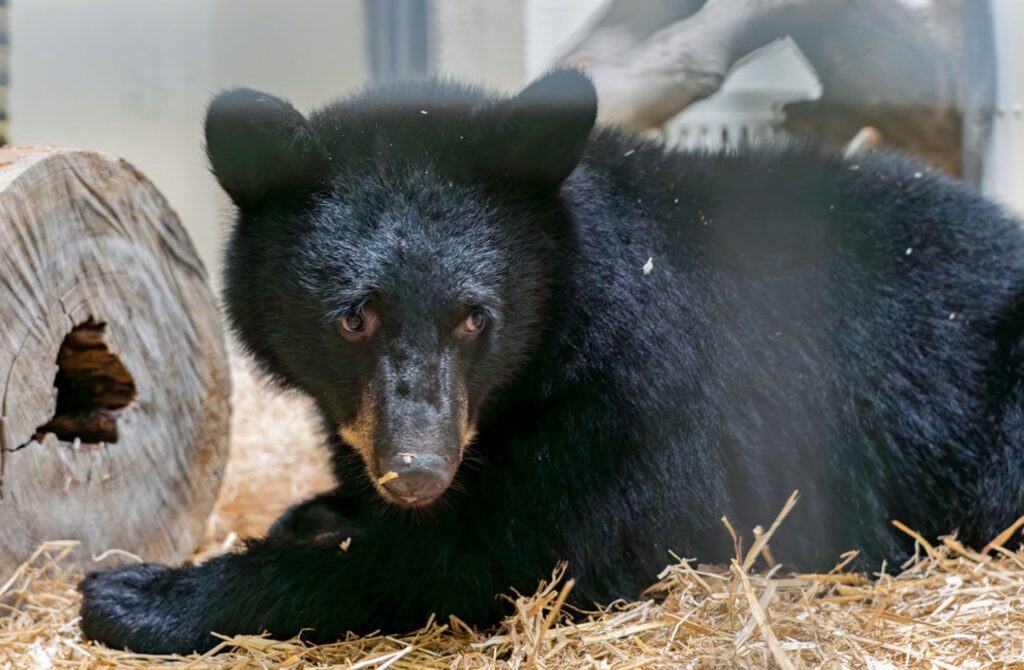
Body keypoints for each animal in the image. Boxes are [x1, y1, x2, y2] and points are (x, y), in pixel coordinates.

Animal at [79, 69, 1024, 654]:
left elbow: (506, 556)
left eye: (475, 317)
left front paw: (138, 596)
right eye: (353, 317)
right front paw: (313, 511)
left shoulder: (634, 412)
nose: (416, 470)